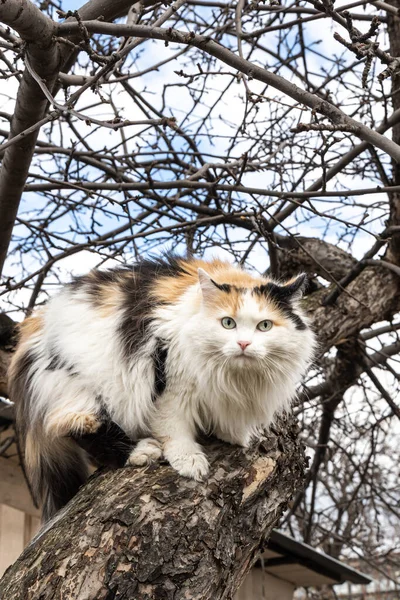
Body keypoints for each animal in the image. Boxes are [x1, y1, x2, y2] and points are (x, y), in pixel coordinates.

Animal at [8, 255, 316, 524]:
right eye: (228, 323)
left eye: (264, 326)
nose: (243, 344)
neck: (237, 377)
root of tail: (32, 328)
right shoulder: (170, 376)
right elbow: (173, 426)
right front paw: (189, 461)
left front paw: (232, 434)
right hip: (79, 384)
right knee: (76, 425)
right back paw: (140, 451)